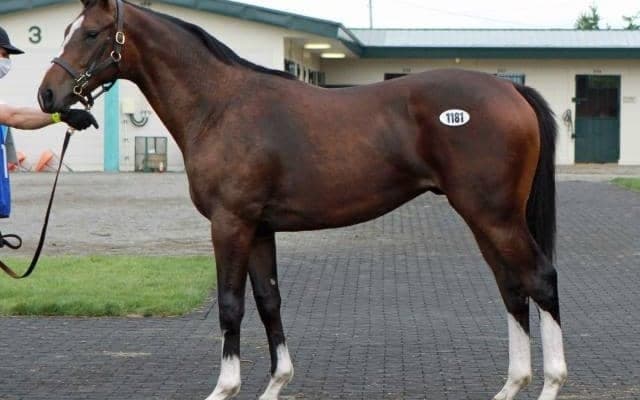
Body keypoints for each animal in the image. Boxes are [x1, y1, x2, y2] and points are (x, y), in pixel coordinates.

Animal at [38, 1, 567, 399]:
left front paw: (225, 387)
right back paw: (512, 384)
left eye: (90, 33)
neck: (220, 105)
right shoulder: (259, 228)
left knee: (539, 279)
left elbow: (231, 304)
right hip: (486, 218)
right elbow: (269, 300)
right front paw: (276, 384)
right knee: (511, 287)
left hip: (493, 216)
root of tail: (510, 90)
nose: (48, 95)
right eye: (64, 31)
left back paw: (551, 383)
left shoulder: (229, 223)